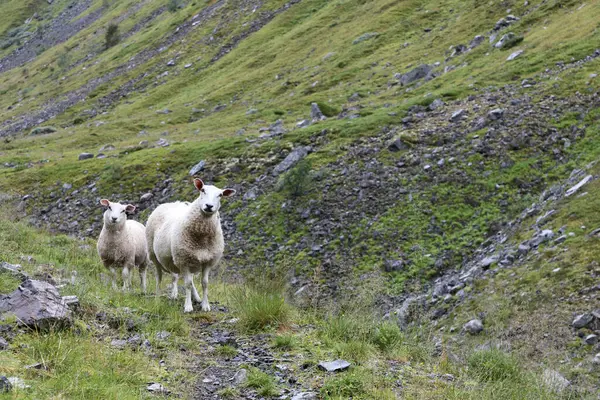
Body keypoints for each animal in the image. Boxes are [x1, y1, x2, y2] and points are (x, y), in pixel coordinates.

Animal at [146, 178, 236, 312]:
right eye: (202, 190)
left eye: (220, 195)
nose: (209, 206)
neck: (201, 239)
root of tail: (170, 203)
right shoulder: (183, 260)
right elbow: (187, 284)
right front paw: (188, 306)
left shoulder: (207, 261)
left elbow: (204, 283)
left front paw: (205, 305)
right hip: (154, 255)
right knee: (159, 277)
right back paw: (157, 297)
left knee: (187, 279)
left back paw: (196, 298)